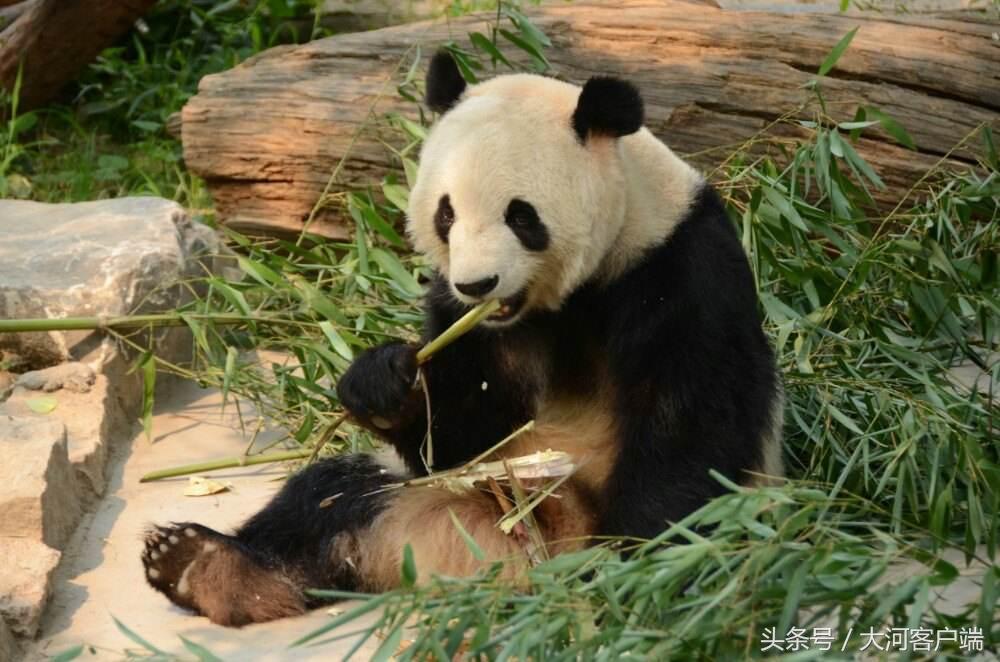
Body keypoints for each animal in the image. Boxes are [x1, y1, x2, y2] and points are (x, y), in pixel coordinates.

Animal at [143, 50, 780, 628]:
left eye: (522, 216)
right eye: (446, 214)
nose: (478, 284)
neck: (567, 298)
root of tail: (484, 557)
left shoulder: (678, 269)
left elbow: (688, 427)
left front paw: (633, 566)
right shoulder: (458, 313)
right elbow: (465, 432)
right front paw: (384, 383)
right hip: (436, 492)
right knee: (327, 498)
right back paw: (203, 566)